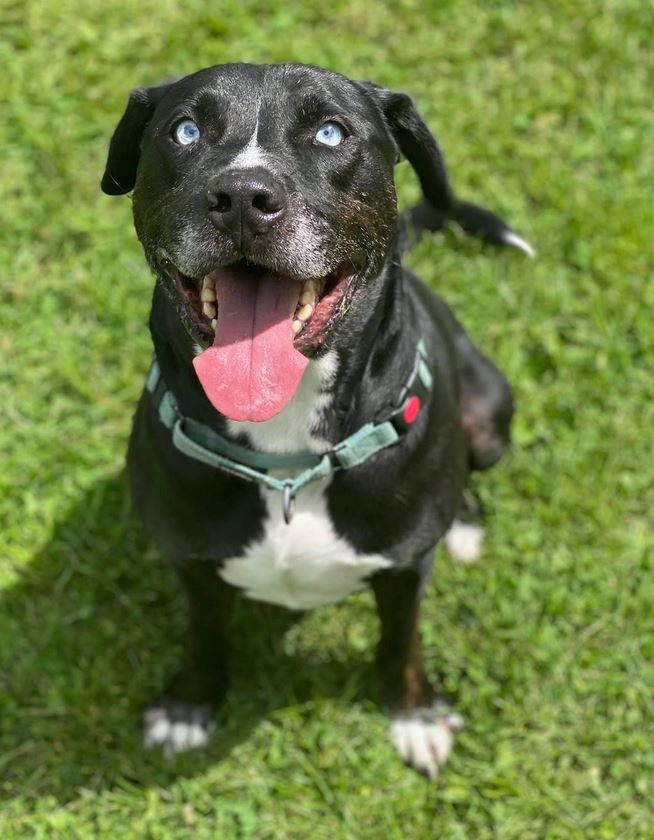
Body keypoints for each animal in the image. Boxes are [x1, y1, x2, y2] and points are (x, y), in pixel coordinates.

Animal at [102, 62, 532, 776]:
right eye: (185, 131)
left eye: (331, 132)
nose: (243, 196)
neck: (286, 459)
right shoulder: (192, 559)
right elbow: (202, 634)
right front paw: (188, 706)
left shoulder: (404, 573)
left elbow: (401, 642)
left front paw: (416, 715)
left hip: (490, 412)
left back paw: (465, 525)